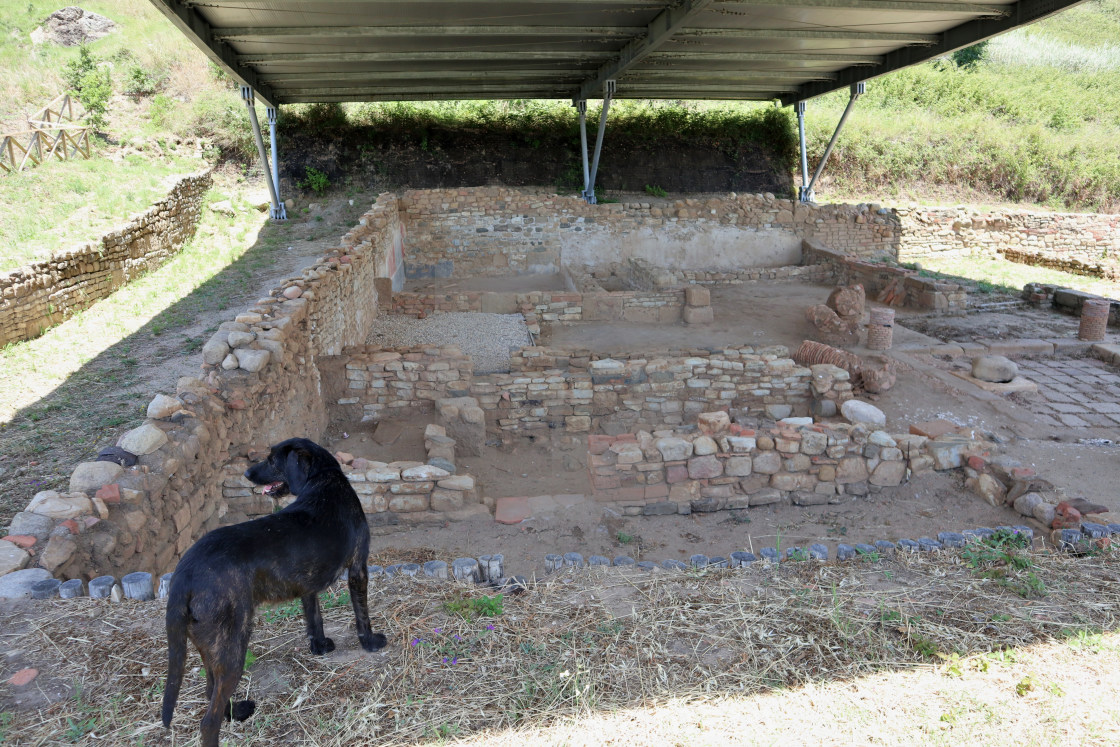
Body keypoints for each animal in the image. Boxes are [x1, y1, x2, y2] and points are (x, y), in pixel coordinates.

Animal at [160, 439, 383, 747]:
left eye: (271, 460)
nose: (246, 473)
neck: (323, 480)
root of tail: (185, 572)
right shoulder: (358, 567)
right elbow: (362, 614)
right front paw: (371, 642)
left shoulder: (307, 583)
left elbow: (314, 617)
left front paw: (319, 646)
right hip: (233, 648)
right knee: (208, 721)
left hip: (210, 648)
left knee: (210, 690)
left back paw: (237, 712)